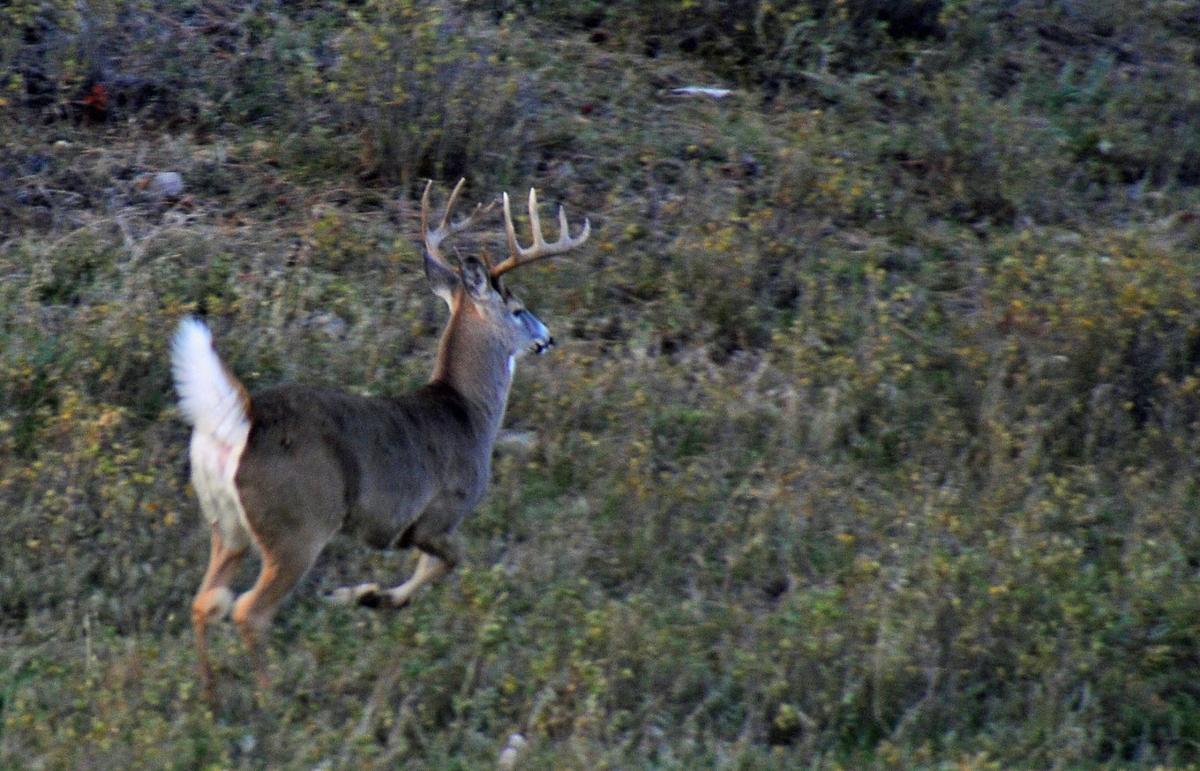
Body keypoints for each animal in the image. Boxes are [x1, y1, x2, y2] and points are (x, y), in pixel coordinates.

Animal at [170, 179, 589, 696]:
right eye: (517, 309)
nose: (547, 337)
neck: (467, 413)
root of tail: (242, 421)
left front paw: (363, 594)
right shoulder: (436, 513)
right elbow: (447, 561)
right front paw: (368, 596)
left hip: (226, 525)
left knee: (203, 600)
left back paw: (209, 696)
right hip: (298, 525)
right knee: (249, 611)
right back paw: (271, 701)